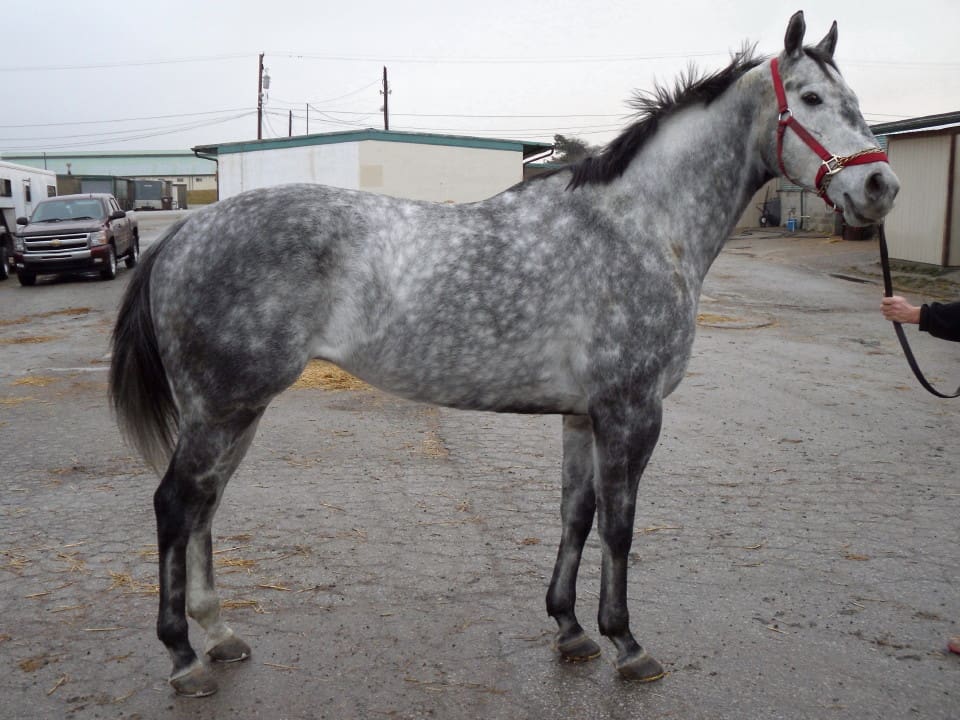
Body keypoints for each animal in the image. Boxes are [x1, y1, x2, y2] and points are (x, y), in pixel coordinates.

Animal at [109, 11, 899, 696]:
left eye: (855, 101)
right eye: (811, 98)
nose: (880, 186)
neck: (640, 226)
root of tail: (185, 232)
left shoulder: (583, 415)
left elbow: (575, 514)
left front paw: (571, 629)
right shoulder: (632, 412)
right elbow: (620, 526)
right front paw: (627, 643)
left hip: (234, 413)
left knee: (205, 506)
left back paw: (219, 636)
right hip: (224, 409)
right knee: (176, 504)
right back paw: (184, 658)